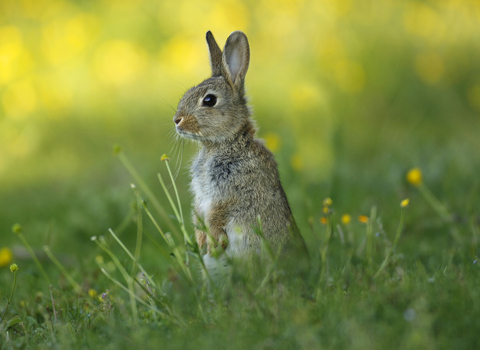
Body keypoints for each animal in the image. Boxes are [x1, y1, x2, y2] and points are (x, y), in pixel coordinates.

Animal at [173, 30, 308, 282]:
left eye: (209, 100)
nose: (177, 120)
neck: (225, 143)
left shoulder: (229, 193)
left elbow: (216, 216)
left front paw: (211, 244)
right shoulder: (201, 197)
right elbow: (198, 214)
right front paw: (201, 242)